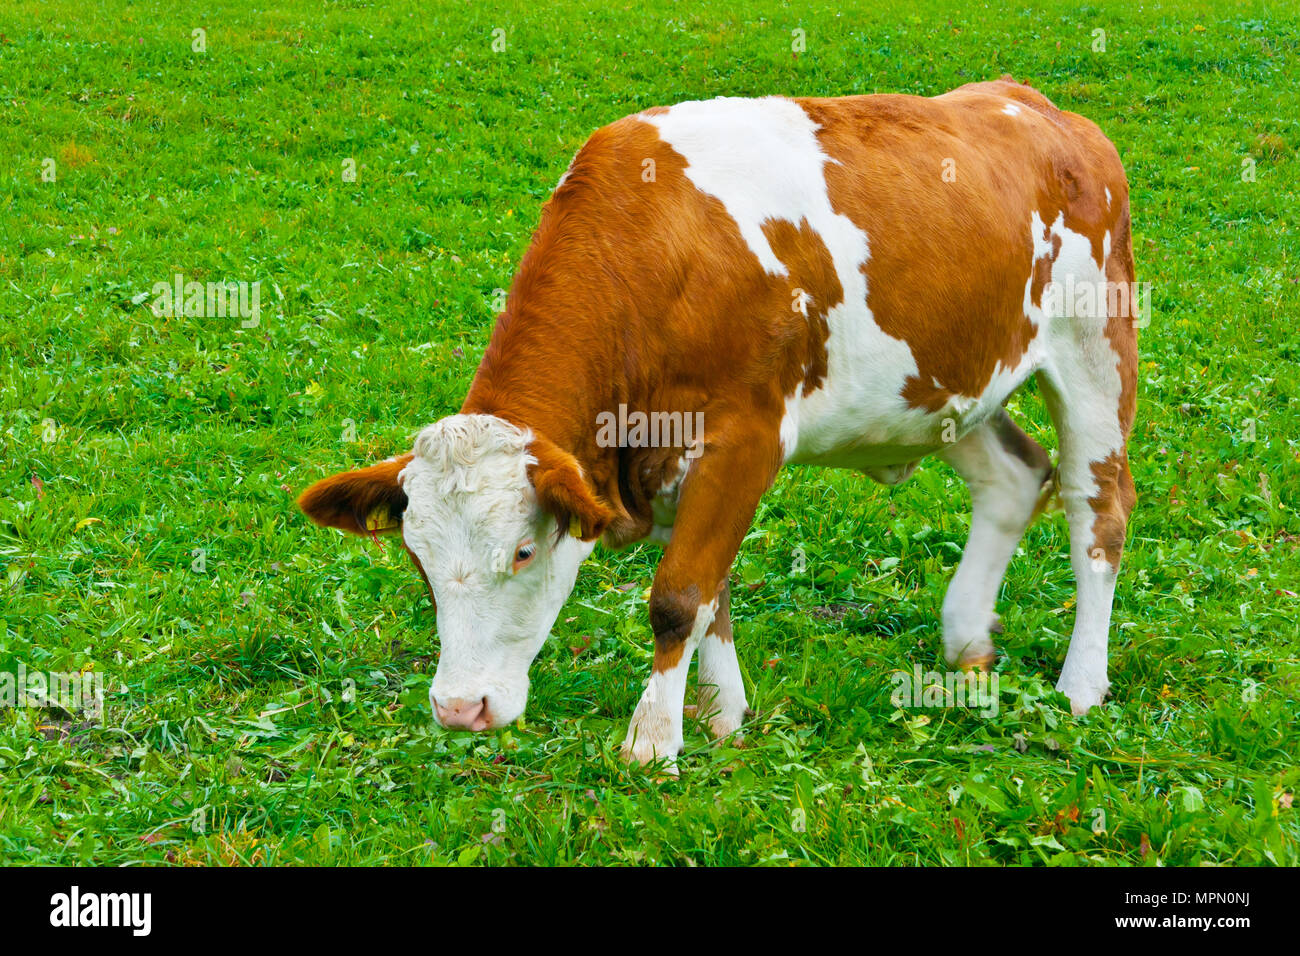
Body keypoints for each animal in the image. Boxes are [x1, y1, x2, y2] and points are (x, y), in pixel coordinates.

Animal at [297, 78, 1138, 775]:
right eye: (418, 559)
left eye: (525, 550)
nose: (459, 708)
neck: (657, 252)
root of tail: (1034, 105)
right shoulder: (672, 457)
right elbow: (713, 587)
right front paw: (722, 715)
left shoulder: (746, 436)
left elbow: (679, 594)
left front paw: (652, 741)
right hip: (951, 382)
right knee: (1015, 479)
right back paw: (966, 640)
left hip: (1095, 347)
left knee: (1097, 509)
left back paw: (1081, 683)